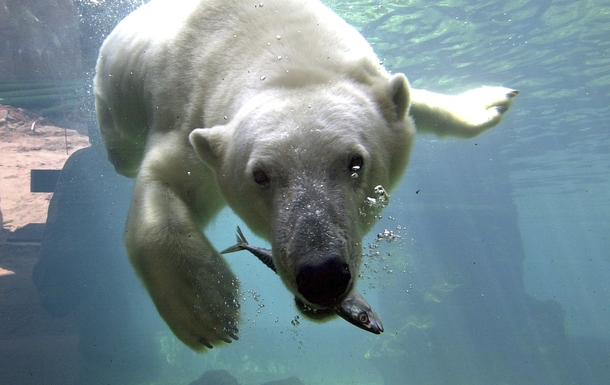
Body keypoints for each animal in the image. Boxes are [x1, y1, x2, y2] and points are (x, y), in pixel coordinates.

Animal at [94, 0, 512, 350]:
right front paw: (206, 309)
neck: (277, 45)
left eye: (356, 162)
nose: (323, 275)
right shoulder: (188, 118)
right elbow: (163, 182)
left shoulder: (366, 78)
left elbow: (406, 103)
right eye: (260, 176)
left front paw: (490, 103)